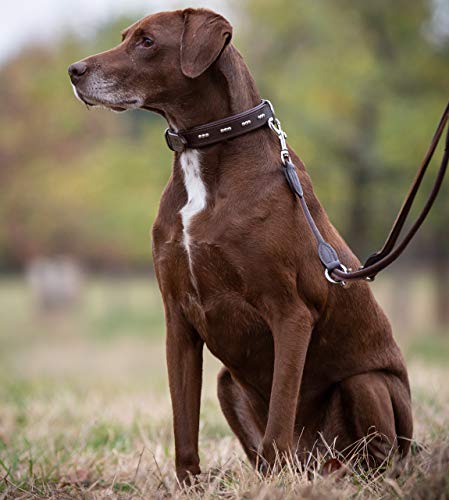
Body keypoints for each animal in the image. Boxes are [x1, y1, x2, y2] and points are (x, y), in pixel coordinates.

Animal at [69, 7, 412, 482]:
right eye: (124, 36)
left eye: (147, 41)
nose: (74, 70)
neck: (203, 154)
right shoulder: (178, 319)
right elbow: (184, 423)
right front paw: (190, 484)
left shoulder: (291, 313)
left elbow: (280, 415)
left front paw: (274, 482)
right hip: (227, 383)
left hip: (368, 386)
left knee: (375, 456)